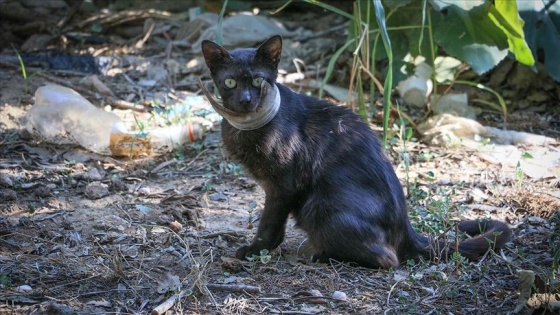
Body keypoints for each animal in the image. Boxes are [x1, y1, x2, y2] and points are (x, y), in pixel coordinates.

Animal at [199, 36, 510, 270]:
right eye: (230, 83)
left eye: (257, 81)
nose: (245, 100)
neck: (248, 128)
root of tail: (408, 231)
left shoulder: (284, 184)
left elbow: (269, 223)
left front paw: (256, 250)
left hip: (319, 207)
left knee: (389, 259)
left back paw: (324, 256)